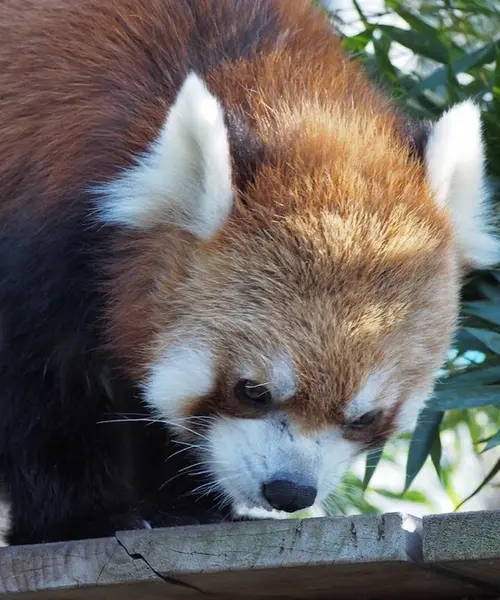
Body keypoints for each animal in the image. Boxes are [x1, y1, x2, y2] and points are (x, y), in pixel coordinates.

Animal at [0, 0, 496, 548]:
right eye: (252, 391)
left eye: (366, 417)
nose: (290, 491)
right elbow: (45, 396)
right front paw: (79, 521)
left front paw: (186, 506)